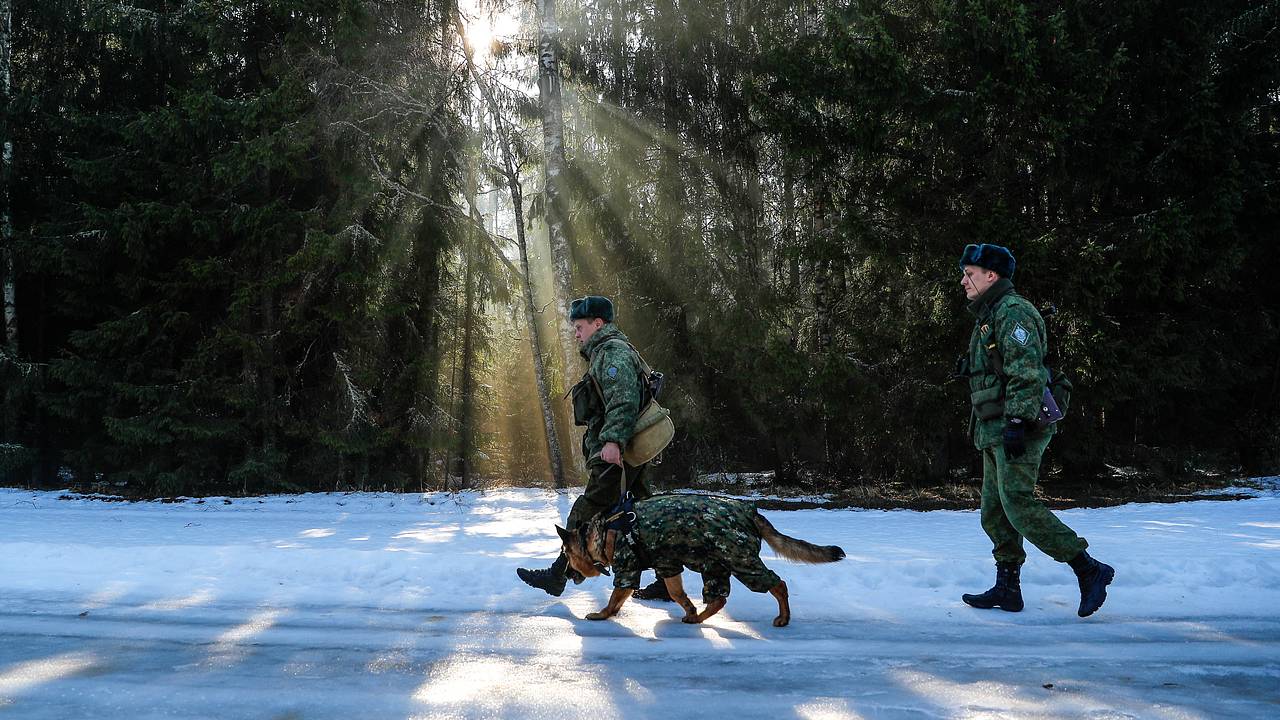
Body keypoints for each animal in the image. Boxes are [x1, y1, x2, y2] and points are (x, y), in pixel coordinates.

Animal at [555, 489, 844, 625]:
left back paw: (783, 617)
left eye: (566, 555)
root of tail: (750, 511)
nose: (565, 574)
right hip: (714, 564)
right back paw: (698, 616)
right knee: (719, 598)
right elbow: (676, 593)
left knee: (777, 583)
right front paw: (690, 608)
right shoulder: (668, 566)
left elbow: (615, 599)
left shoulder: (628, 569)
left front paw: (602, 614)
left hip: (741, 560)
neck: (603, 532)